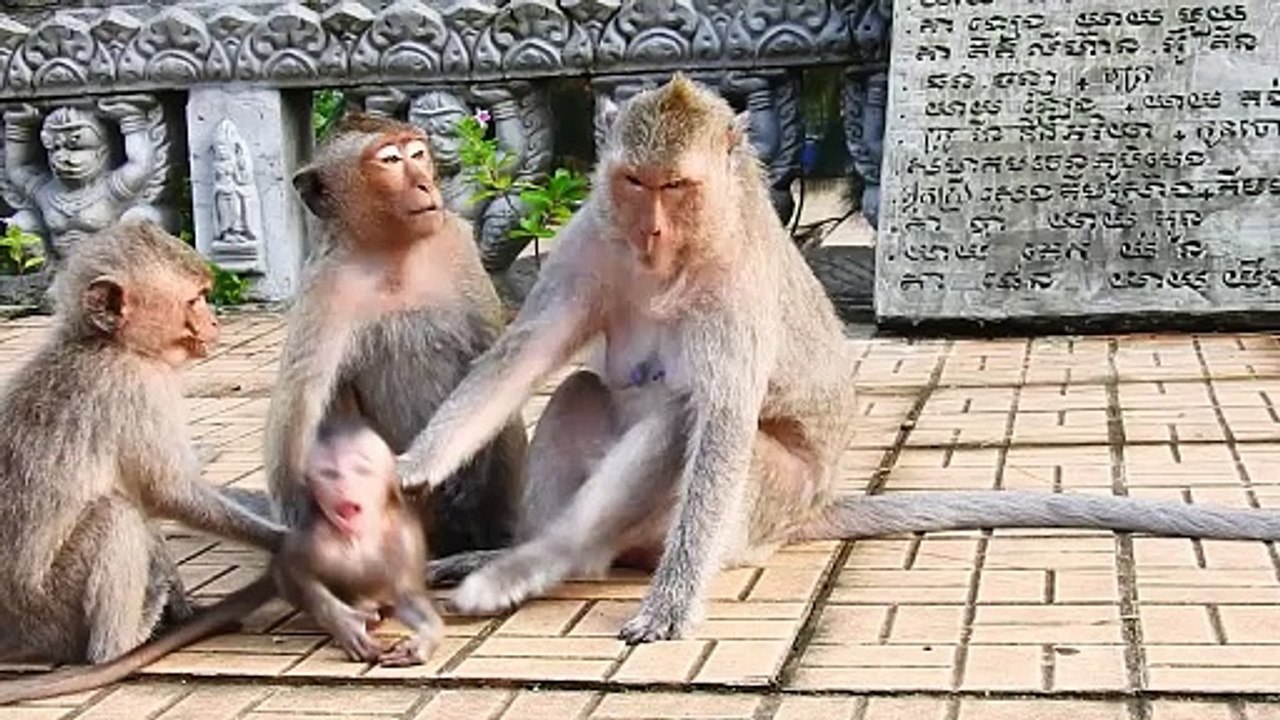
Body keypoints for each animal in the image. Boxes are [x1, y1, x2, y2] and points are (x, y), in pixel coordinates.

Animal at [0, 219, 286, 668]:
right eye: (195, 300)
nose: (215, 322)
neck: (110, 344)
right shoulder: (136, 386)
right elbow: (167, 491)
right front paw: (287, 544)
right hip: (49, 613)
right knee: (117, 514)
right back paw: (126, 640)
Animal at [0, 415, 440, 705]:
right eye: (330, 473)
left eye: (360, 469)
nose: (344, 491)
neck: (357, 538)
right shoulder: (314, 539)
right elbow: (290, 572)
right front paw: (344, 624)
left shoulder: (402, 539)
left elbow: (409, 593)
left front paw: (422, 640)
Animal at [264, 111, 527, 564]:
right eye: (390, 160)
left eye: (417, 154)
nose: (425, 183)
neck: (393, 253)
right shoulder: (324, 287)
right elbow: (299, 403)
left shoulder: (457, 246)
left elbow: (491, 361)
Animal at [398, 74, 1280, 645]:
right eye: (635, 181)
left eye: (677, 188)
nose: (649, 230)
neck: (672, 262)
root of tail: (813, 507)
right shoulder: (588, 239)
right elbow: (524, 355)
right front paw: (414, 467)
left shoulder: (736, 287)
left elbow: (721, 421)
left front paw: (672, 607)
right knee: (583, 389)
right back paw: (518, 559)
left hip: (762, 509)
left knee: (695, 422)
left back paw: (560, 560)